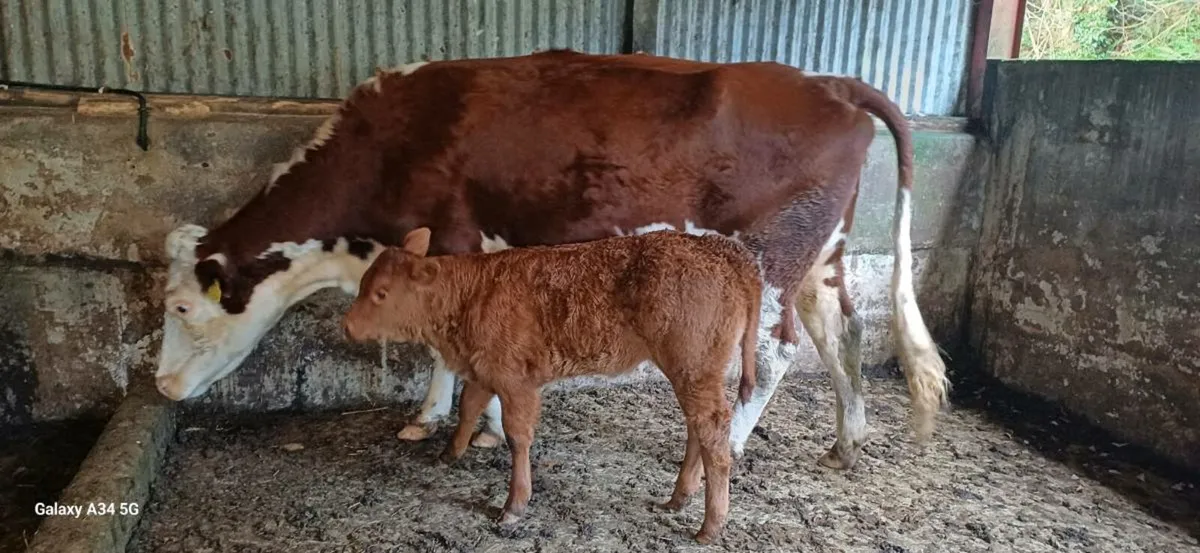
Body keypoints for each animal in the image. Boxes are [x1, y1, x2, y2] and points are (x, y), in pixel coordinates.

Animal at [155, 49, 949, 470]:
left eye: (182, 306)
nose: (160, 385)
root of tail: (829, 82)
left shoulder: (451, 240)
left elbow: (447, 341)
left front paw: (468, 423)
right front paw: (440, 418)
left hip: (772, 256)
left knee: (778, 352)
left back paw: (730, 443)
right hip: (822, 254)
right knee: (842, 330)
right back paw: (849, 437)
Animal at [342, 227, 761, 542]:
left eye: (381, 293)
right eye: (363, 283)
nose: (346, 326)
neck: (470, 296)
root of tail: (720, 248)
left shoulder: (515, 380)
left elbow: (517, 436)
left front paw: (514, 505)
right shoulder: (486, 368)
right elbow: (468, 405)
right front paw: (450, 452)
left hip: (693, 364)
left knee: (712, 427)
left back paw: (709, 526)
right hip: (694, 370)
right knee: (698, 427)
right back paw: (679, 498)